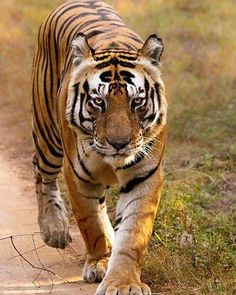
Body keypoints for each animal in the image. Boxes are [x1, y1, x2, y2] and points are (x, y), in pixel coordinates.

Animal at [31, 0, 168, 294]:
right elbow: (91, 224)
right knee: (41, 173)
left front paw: (124, 282)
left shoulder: (145, 176)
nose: (119, 144)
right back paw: (55, 230)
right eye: (98, 101)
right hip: (47, 135)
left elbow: (134, 234)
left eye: (136, 102)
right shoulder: (77, 175)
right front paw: (100, 262)